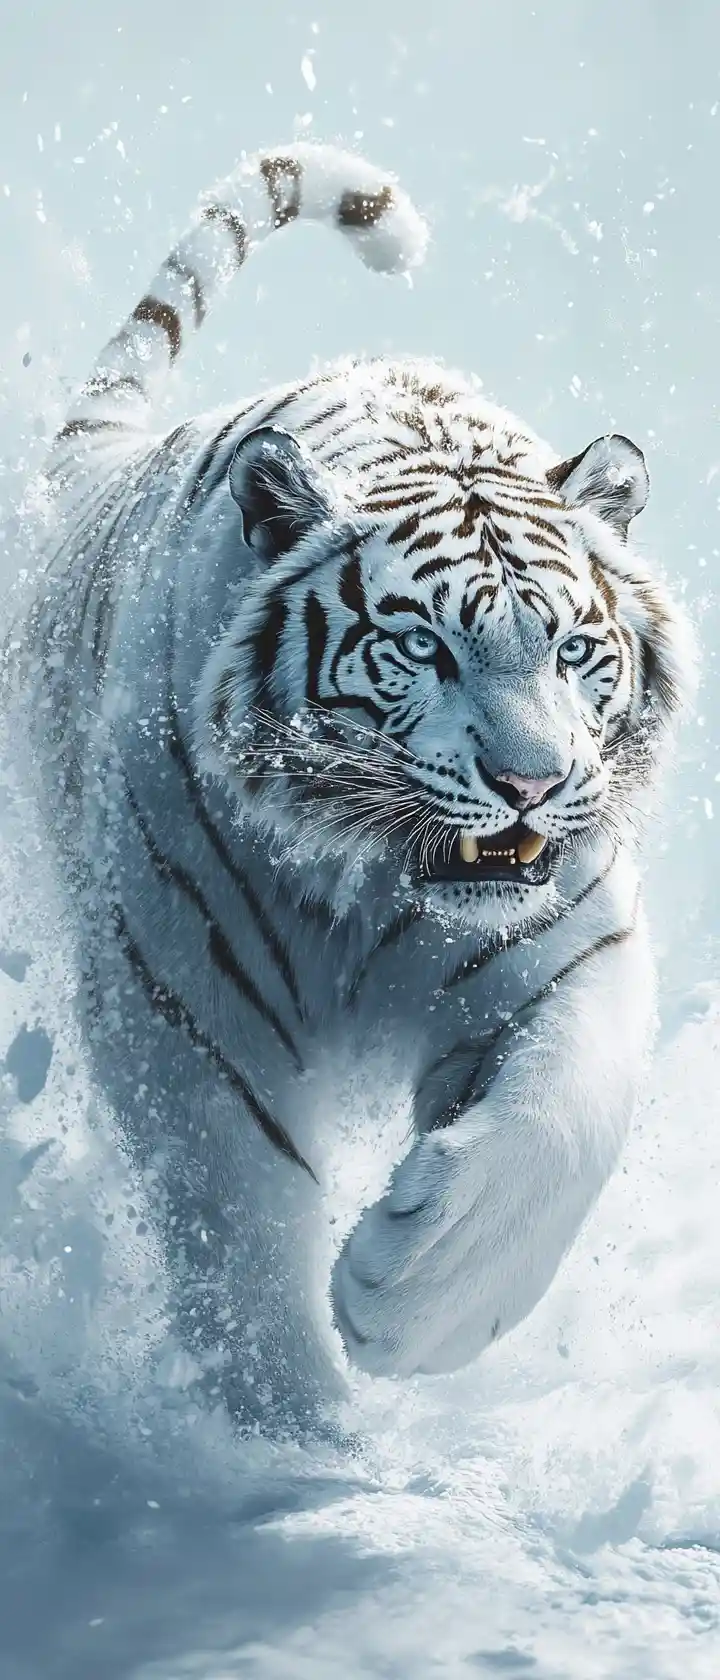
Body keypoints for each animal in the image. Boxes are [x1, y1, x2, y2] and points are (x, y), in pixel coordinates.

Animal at [10, 140, 693, 1430]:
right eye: (420, 647)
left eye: (573, 648)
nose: (529, 784)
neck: (375, 893)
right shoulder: (189, 1004)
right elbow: (232, 1218)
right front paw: (288, 1427)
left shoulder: (569, 946)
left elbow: (562, 1121)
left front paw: (407, 1305)